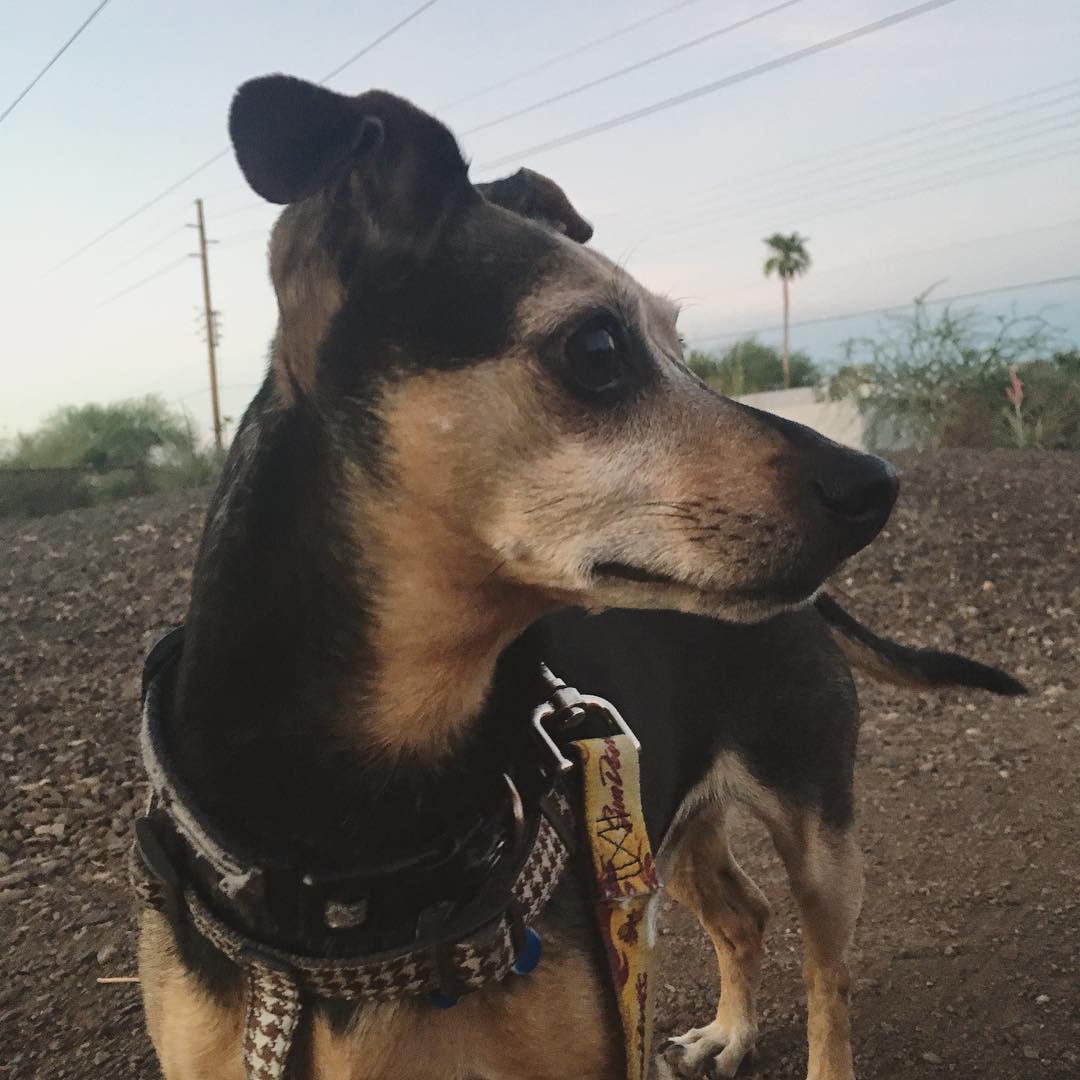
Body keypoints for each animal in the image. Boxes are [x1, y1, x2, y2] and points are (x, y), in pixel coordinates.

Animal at [135, 76, 1019, 1080]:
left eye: (682, 345)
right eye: (598, 348)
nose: (877, 484)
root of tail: (816, 608)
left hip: (811, 834)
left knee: (829, 980)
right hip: (660, 826)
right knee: (743, 914)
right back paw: (728, 1031)